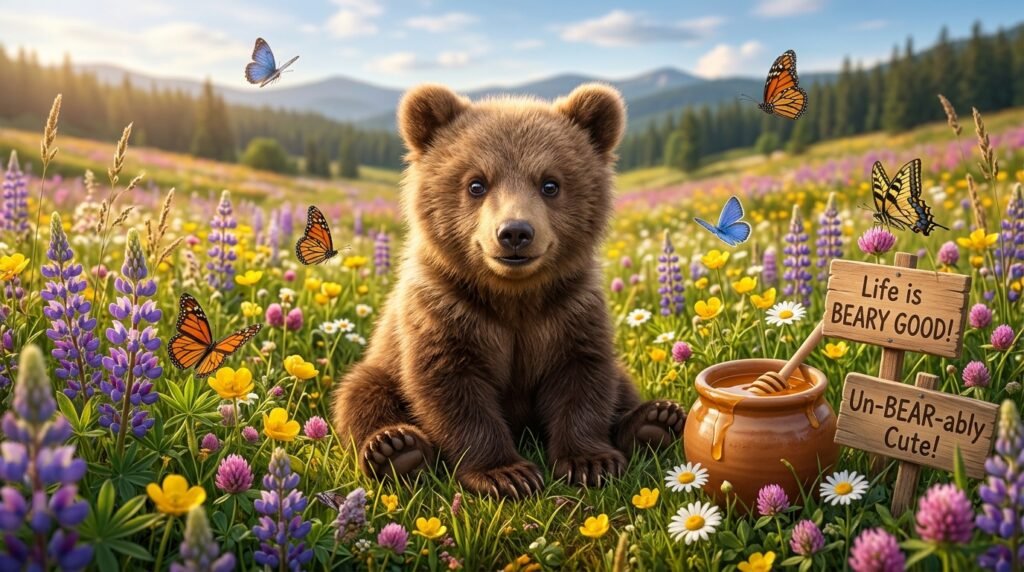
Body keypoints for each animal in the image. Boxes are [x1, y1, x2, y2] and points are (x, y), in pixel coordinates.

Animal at [331, 83, 686, 498]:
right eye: (476, 183)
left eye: (550, 183)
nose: (515, 232)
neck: (513, 296)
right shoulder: (446, 309)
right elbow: (453, 389)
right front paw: (507, 473)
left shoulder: (569, 309)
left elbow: (582, 377)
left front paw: (589, 462)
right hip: (382, 363)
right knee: (360, 393)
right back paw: (396, 449)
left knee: (621, 384)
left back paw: (655, 420)